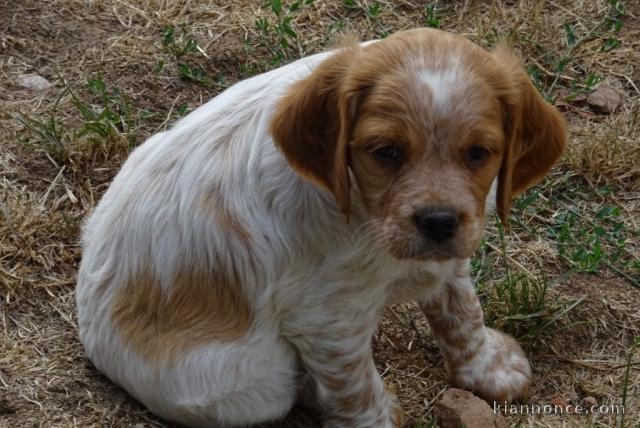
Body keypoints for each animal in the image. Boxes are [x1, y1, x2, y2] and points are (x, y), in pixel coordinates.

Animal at [75, 28, 564, 426]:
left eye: (479, 153)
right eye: (385, 152)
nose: (438, 222)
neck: (363, 214)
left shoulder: (449, 252)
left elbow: (463, 312)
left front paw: (487, 369)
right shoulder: (328, 320)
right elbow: (355, 387)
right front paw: (375, 417)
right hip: (256, 381)